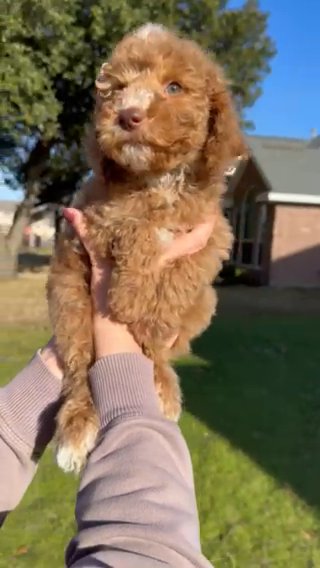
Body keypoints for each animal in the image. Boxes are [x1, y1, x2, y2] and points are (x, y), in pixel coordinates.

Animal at [47, 24, 245, 472]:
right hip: (69, 299)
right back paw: (77, 428)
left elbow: (185, 269)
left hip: (203, 306)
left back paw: (164, 383)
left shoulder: (212, 231)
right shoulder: (97, 216)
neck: (159, 180)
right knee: (78, 363)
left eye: (174, 87)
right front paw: (129, 297)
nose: (127, 115)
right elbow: (137, 229)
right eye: (118, 89)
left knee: (157, 355)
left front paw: (149, 315)